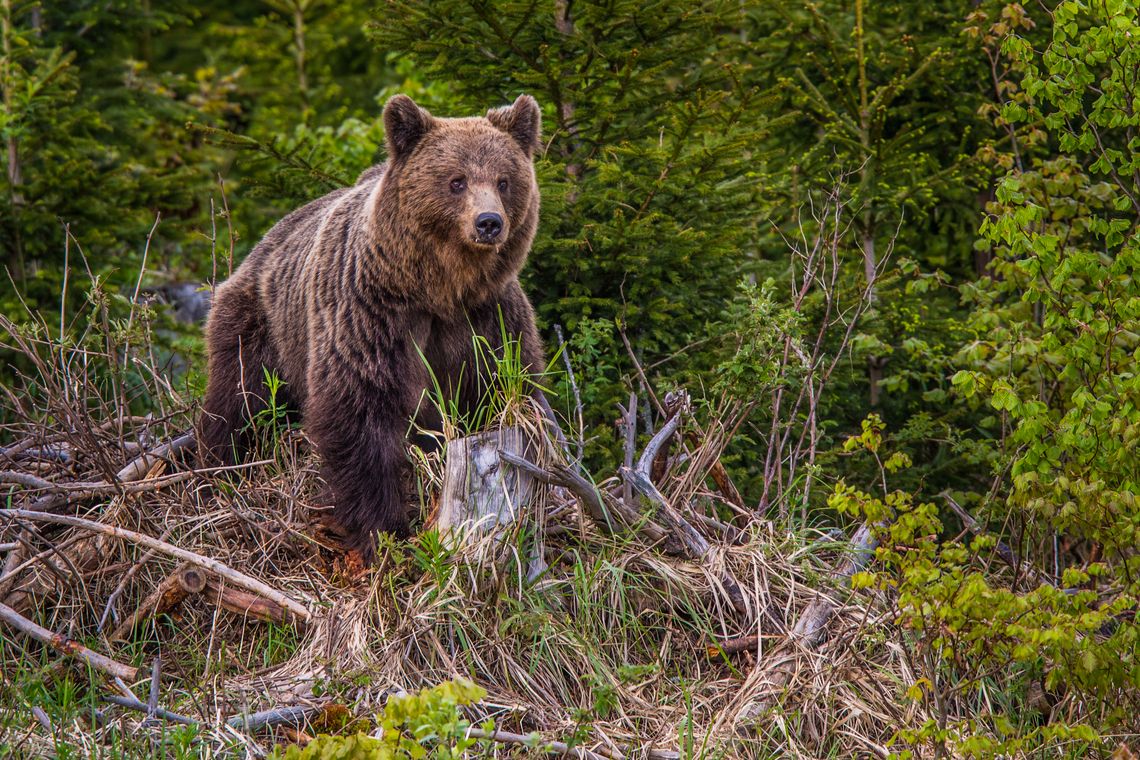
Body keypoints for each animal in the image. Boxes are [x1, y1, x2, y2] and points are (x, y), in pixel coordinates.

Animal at [197, 94, 545, 560]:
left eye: (505, 180)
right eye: (456, 181)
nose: (489, 222)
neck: (440, 290)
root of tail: (262, 245)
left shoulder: (488, 322)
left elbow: (505, 390)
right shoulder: (371, 313)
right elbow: (358, 414)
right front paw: (382, 529)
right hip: (261, 325)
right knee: (238, 399)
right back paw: (217, 470)